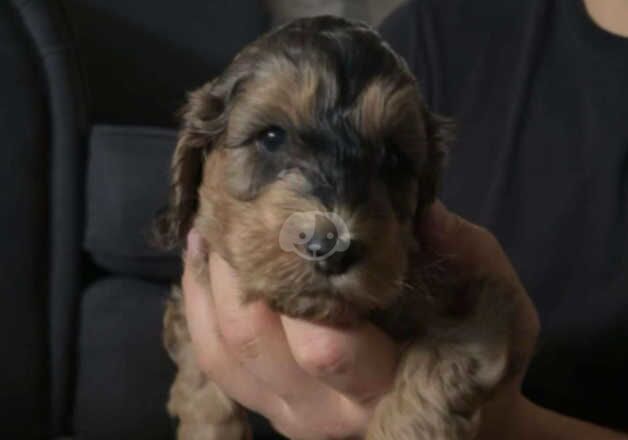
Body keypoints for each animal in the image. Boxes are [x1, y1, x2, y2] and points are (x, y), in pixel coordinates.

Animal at [159, 15, 516, 438]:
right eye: (271, 136)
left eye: (393, 156)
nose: (330, 246)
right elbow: (202, 388)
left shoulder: (479, 307)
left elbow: (433, 370)